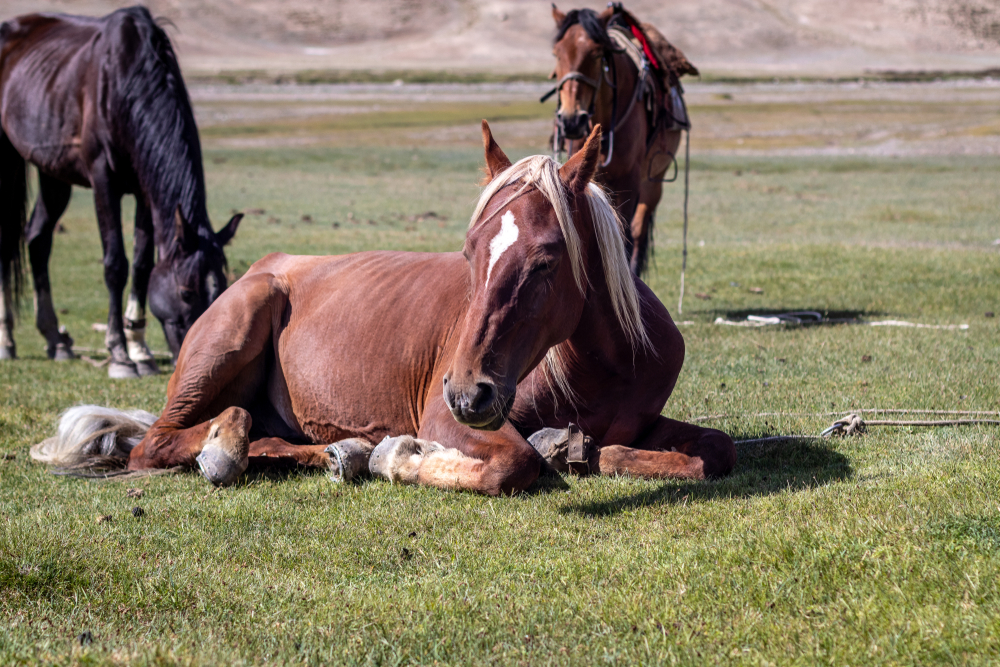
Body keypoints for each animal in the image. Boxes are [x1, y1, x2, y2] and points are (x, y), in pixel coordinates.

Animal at [0, 6, 241, 376]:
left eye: (223, 289)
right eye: (186, 292)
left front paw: (140, 350)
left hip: (52, 172)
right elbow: (116, 264)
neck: (125, 85)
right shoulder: (103, 179)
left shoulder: (143, 190)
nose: (199, 353)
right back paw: (7, 339)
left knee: (38, 238)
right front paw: (119, 354)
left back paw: (56, 340)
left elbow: (142, 266)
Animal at [33, 122, 736, 496]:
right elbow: (515, 463)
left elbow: (714, 451)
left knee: (271, 438)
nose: (469, 392)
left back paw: (333, 452)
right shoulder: (448, 420)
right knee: (156, 443)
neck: (601, 366)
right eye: (470, 251)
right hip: (228, 339)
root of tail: (264, 268)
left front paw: (588, 452)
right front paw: (402, 457)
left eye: (544, 261)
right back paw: (228, 445)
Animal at [544, 2, 700, 274]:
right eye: (557, 53)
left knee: (638, 231)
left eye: (597, 54)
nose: (572, 120)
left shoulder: (630, 182)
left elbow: (626, 237)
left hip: (654, 181)